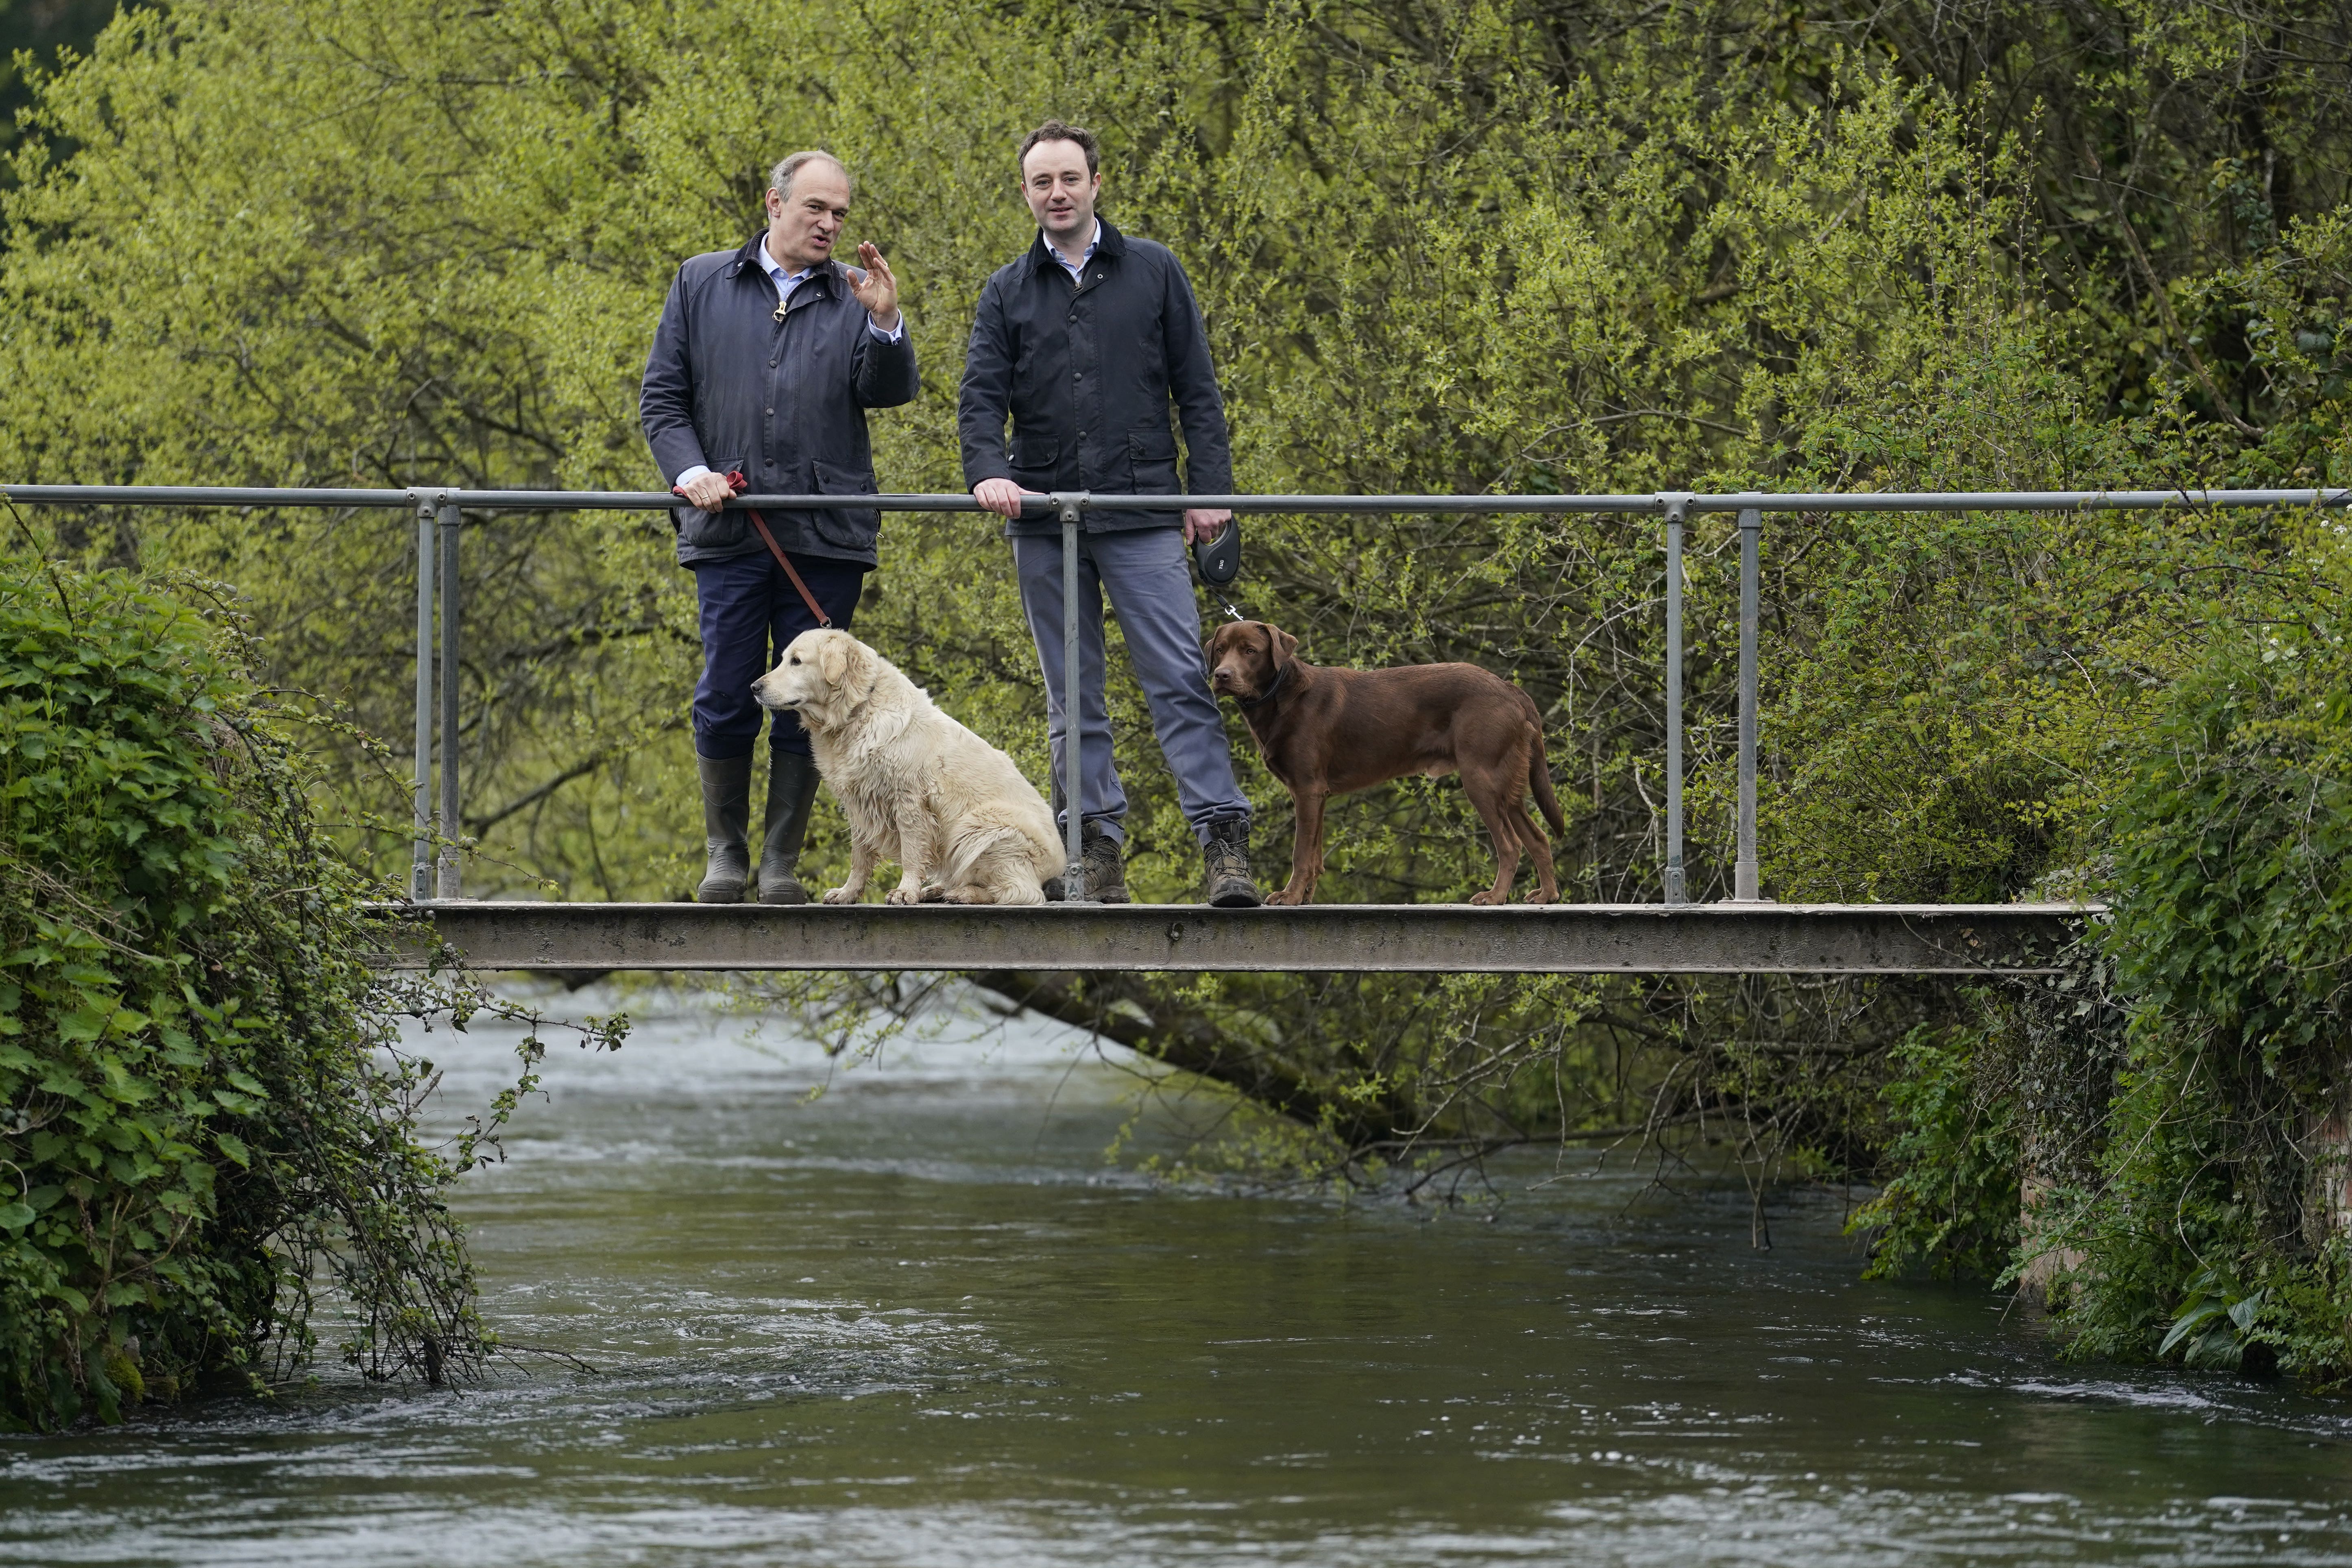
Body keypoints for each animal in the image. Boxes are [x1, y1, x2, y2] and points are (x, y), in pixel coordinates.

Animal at [748, 630, 1063, 907]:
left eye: (797, 661)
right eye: (783, 659)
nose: (754, 688)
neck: (857, 711)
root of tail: (1058, 867)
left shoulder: (910, 800)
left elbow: (912, 851)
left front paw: (905, 892)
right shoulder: (859, 803)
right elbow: (859, 856)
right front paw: (848, 893)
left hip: (981, 825)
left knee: (1022, 892)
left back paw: (964, 893)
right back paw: (938, 890)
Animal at [1204, 620, 1571, 903]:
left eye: (1250, 651)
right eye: (1220, 650)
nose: (1222, 675)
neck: (1280, 697)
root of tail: (1509, 688)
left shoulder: (1307, 789)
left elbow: (1300, 853)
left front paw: (1290, 897)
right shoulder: (1315, 793)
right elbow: (1315, 854)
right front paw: (1304, 897)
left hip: (1480, 778)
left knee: (1510, 845)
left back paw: (1494, 897)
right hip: (1507, 786)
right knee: (1538, 838)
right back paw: (1547, 895)